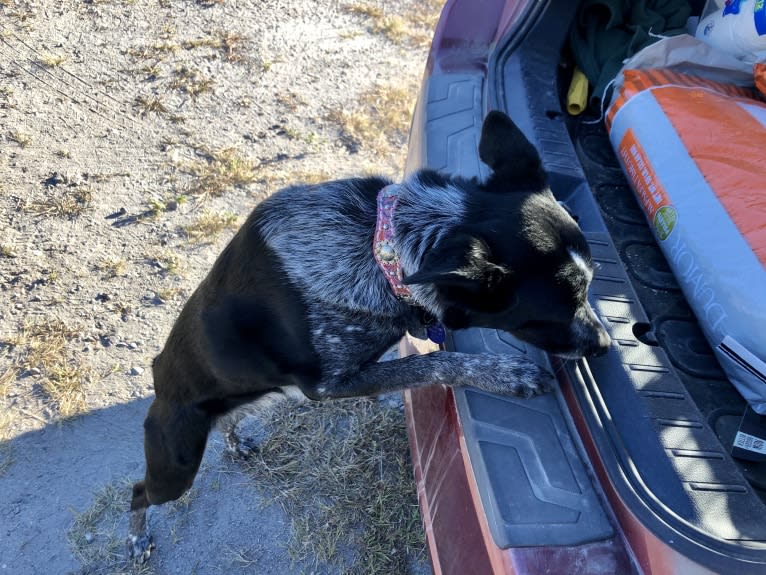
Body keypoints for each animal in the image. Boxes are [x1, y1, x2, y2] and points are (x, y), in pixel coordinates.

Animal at [129, 110, 616, 560]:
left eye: (590, 288)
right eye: (549, 315)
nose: (606, 346)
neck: (381, 246)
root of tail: (158, 377)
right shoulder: (328, 385)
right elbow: (429, 362)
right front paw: (506, 374)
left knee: (228, 422)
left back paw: (234, 440)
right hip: (175, 465)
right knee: (139, 492)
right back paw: (137, 538)